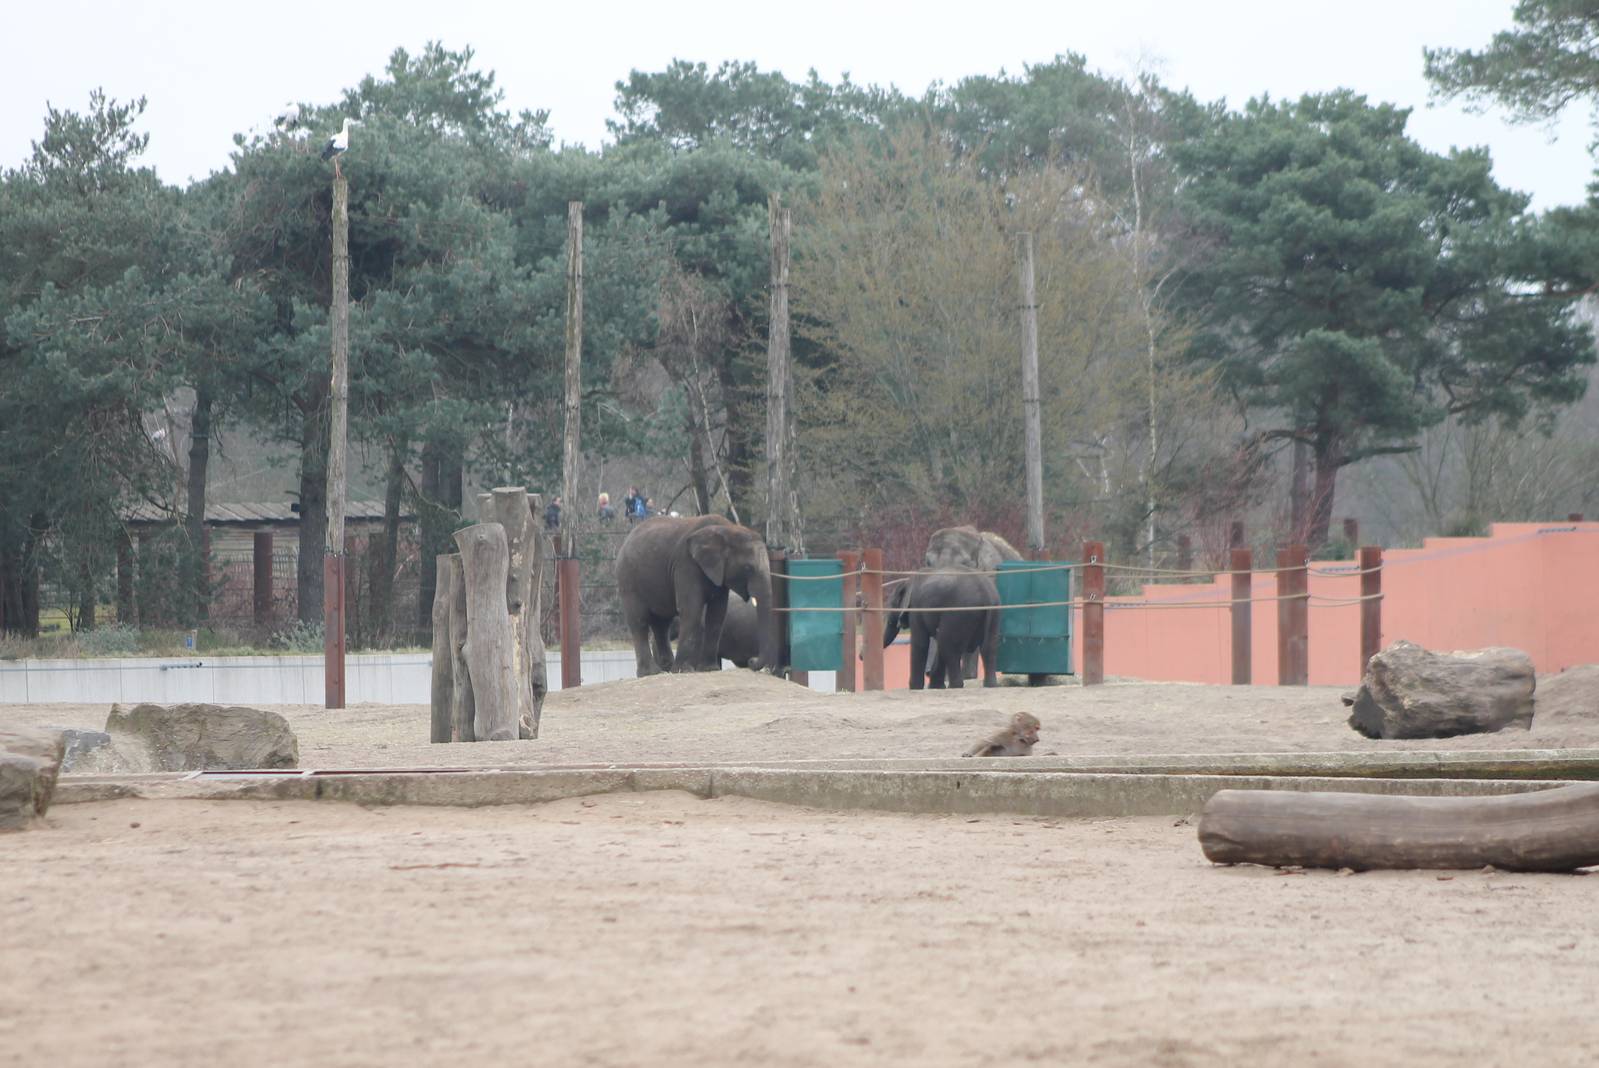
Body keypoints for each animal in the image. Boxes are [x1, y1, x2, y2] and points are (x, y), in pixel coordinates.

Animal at [615, 515, 777, 676]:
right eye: (748, 568)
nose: (751, 661)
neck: (728, 529)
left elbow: (717, 614)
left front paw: (709, 669)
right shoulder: (686, 564)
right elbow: (691, 609)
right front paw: (684, 671)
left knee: (662, 624)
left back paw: (666, 670)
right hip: (628, 579)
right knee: (639, 621)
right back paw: (651, 673)